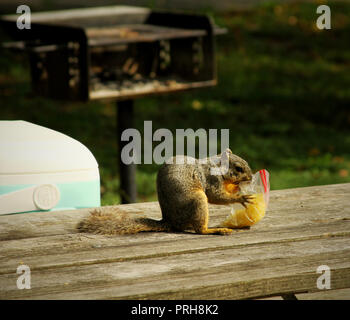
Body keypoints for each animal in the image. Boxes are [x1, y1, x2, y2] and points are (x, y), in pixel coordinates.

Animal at [77, 149, 252, 236]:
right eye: (238, 168)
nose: (250, 177)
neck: (215, 167)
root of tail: (169, 221)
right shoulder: (211, 180)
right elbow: (216, 196)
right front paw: (241, 197)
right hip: (197, 200)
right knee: (199, 230)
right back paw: (215, 230)